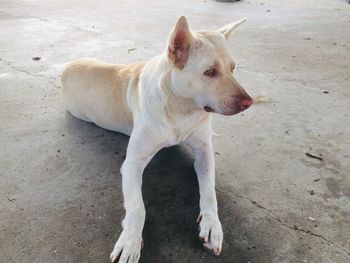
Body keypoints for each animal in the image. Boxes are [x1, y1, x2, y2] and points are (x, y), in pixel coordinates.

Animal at [60, 17, 252, 263]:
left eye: (233, 68)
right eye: (210, 72)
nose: (249, 103)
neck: (181, 107)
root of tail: (67, 65)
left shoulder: (204, 151)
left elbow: (209, 190)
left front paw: (212, 225)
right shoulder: (132, 164)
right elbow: (137, 207)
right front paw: (130, 239)